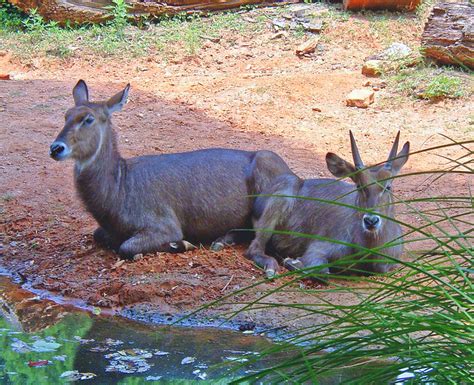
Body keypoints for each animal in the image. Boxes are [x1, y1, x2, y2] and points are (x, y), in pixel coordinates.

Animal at [49, 79, 292, 260]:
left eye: (88, 119)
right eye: (66, 115)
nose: (56, 148)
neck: (119, 189)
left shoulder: (164, 224)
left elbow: (126, 247)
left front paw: (182, 244)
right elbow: (97, 234)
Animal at [246, 130, 410, 278]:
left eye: (388, 186)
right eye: (359, 185)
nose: (371, 221)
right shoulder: (317, 249)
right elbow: (322, 272)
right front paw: (292, 262)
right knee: (254, 249)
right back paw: (272, 268)